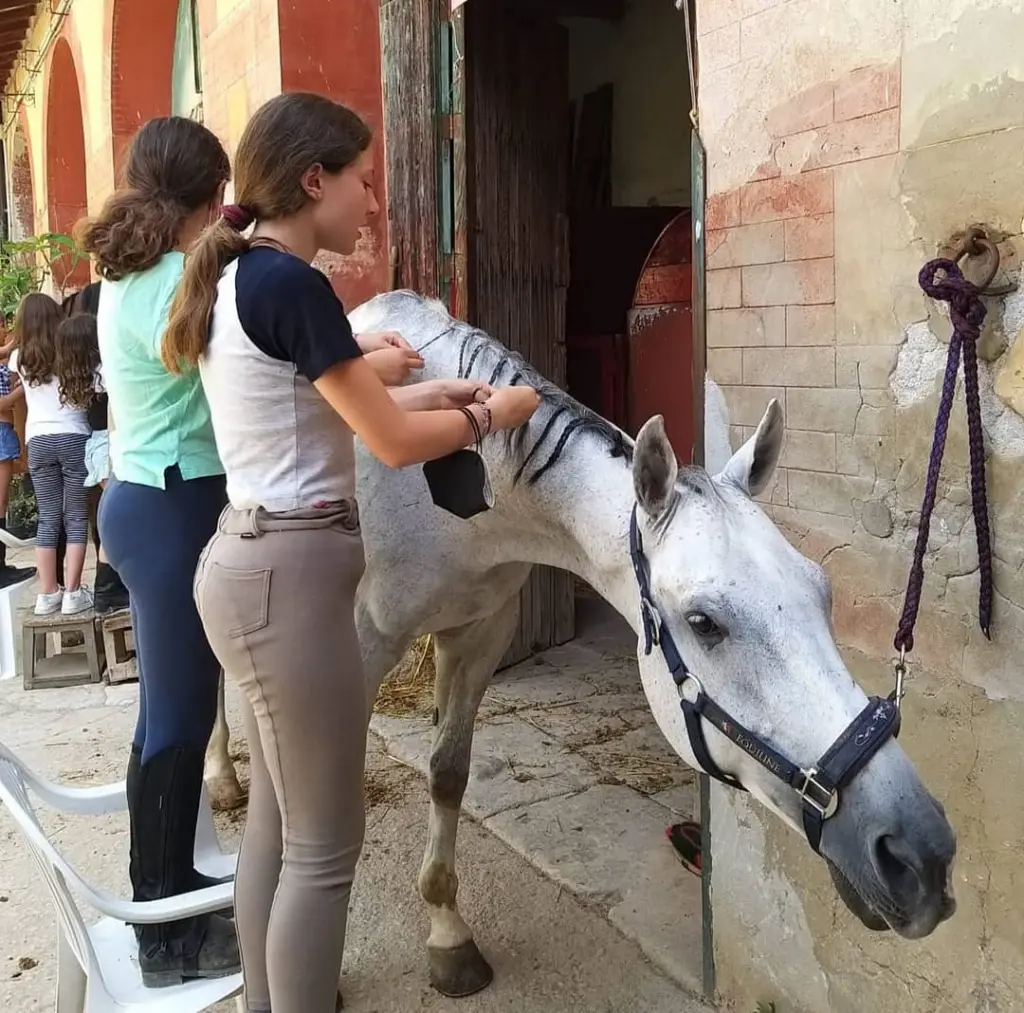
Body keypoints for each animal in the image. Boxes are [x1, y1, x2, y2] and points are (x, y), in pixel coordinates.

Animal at [204, 290, 957, 996]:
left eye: (821, 589)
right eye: (704, 622)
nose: (918, 854)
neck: (446, 482)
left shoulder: (480, 633)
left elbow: (448, 773)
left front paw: (448, 936)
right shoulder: (357, 649)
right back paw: (221, 779)